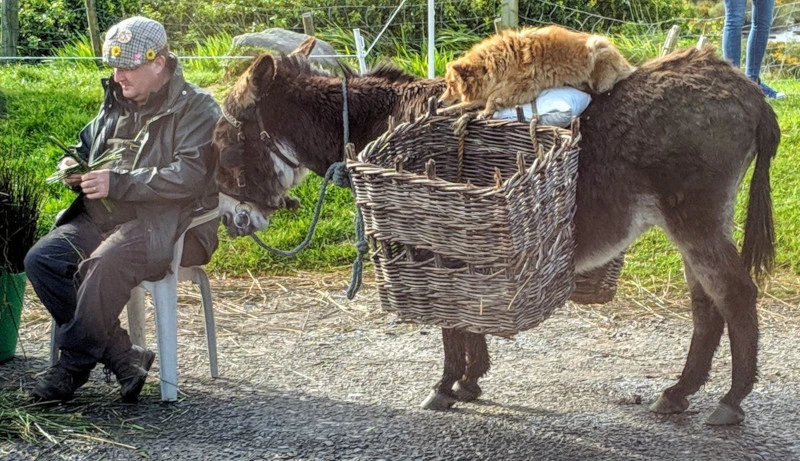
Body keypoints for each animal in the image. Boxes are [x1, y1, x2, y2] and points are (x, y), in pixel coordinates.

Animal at [212, 38, 779, 426]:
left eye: (226, 136)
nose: (231, 221)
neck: (383, 123)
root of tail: (744, 88)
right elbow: (468, 315)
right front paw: (471, 380)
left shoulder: (428, 234)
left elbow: (450, 322)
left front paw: (447, 385)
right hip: (689, 221)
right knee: (706, 304)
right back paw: (679, 393)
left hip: (695, 218)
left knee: (735, 294)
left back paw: (729, 401)